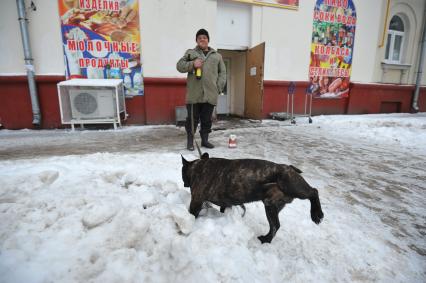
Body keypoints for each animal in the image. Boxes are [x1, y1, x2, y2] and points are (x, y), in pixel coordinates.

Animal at [181, 153, 324, 244]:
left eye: (182, 173)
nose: (184, 183)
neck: (197, 167)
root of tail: (290, 167)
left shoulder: (196, 200)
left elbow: (192, 214)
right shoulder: (225, 203)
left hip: (289, 184)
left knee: (313, 192)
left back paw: (316, 214)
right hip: (271, 205)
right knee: (275, 226)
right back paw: (266, 239)